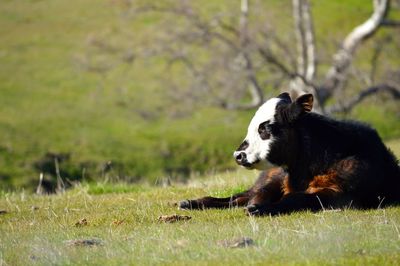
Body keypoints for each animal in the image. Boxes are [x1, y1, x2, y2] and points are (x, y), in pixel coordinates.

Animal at [178, 92, 400, 215]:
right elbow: (261, 196)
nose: (237, 155)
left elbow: (296, 199)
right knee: (235, 198)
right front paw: (257, 206)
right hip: (269, 177)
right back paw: (190, 203)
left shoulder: (338, 192)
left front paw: (259, 209)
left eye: (265, 128)